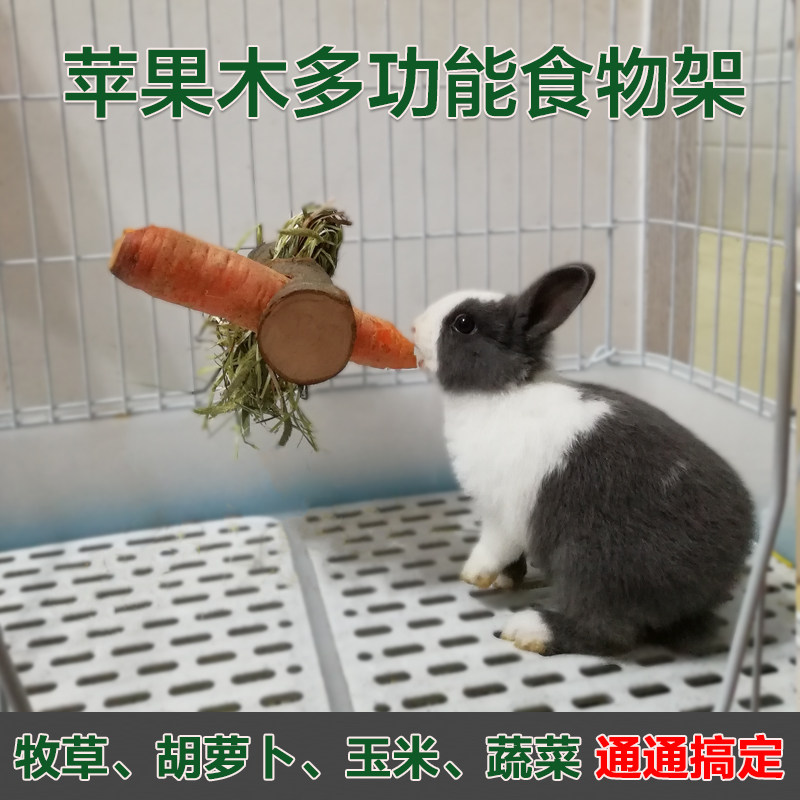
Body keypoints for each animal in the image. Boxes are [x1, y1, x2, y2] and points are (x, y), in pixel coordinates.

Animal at [411, 263, 755, 657]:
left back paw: (530, 630)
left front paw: (474, 574)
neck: (502, 391)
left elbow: (494, 546)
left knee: (608, 632)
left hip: (592, 563)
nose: (413, 327)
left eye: (464, 323)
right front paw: (505, 580)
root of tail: (724, 568)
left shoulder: (504, 514)